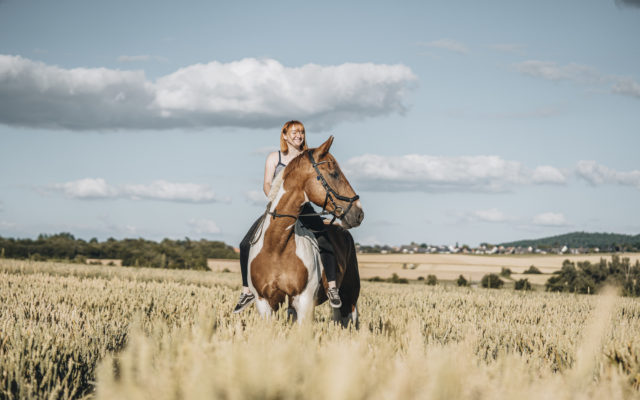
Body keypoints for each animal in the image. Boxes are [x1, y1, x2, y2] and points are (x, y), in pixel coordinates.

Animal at [246, 136, 362, 326]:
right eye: (334, 174)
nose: (359, 213)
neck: (276, 245)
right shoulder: (264, 303)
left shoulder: (304, 302)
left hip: (349, 298)